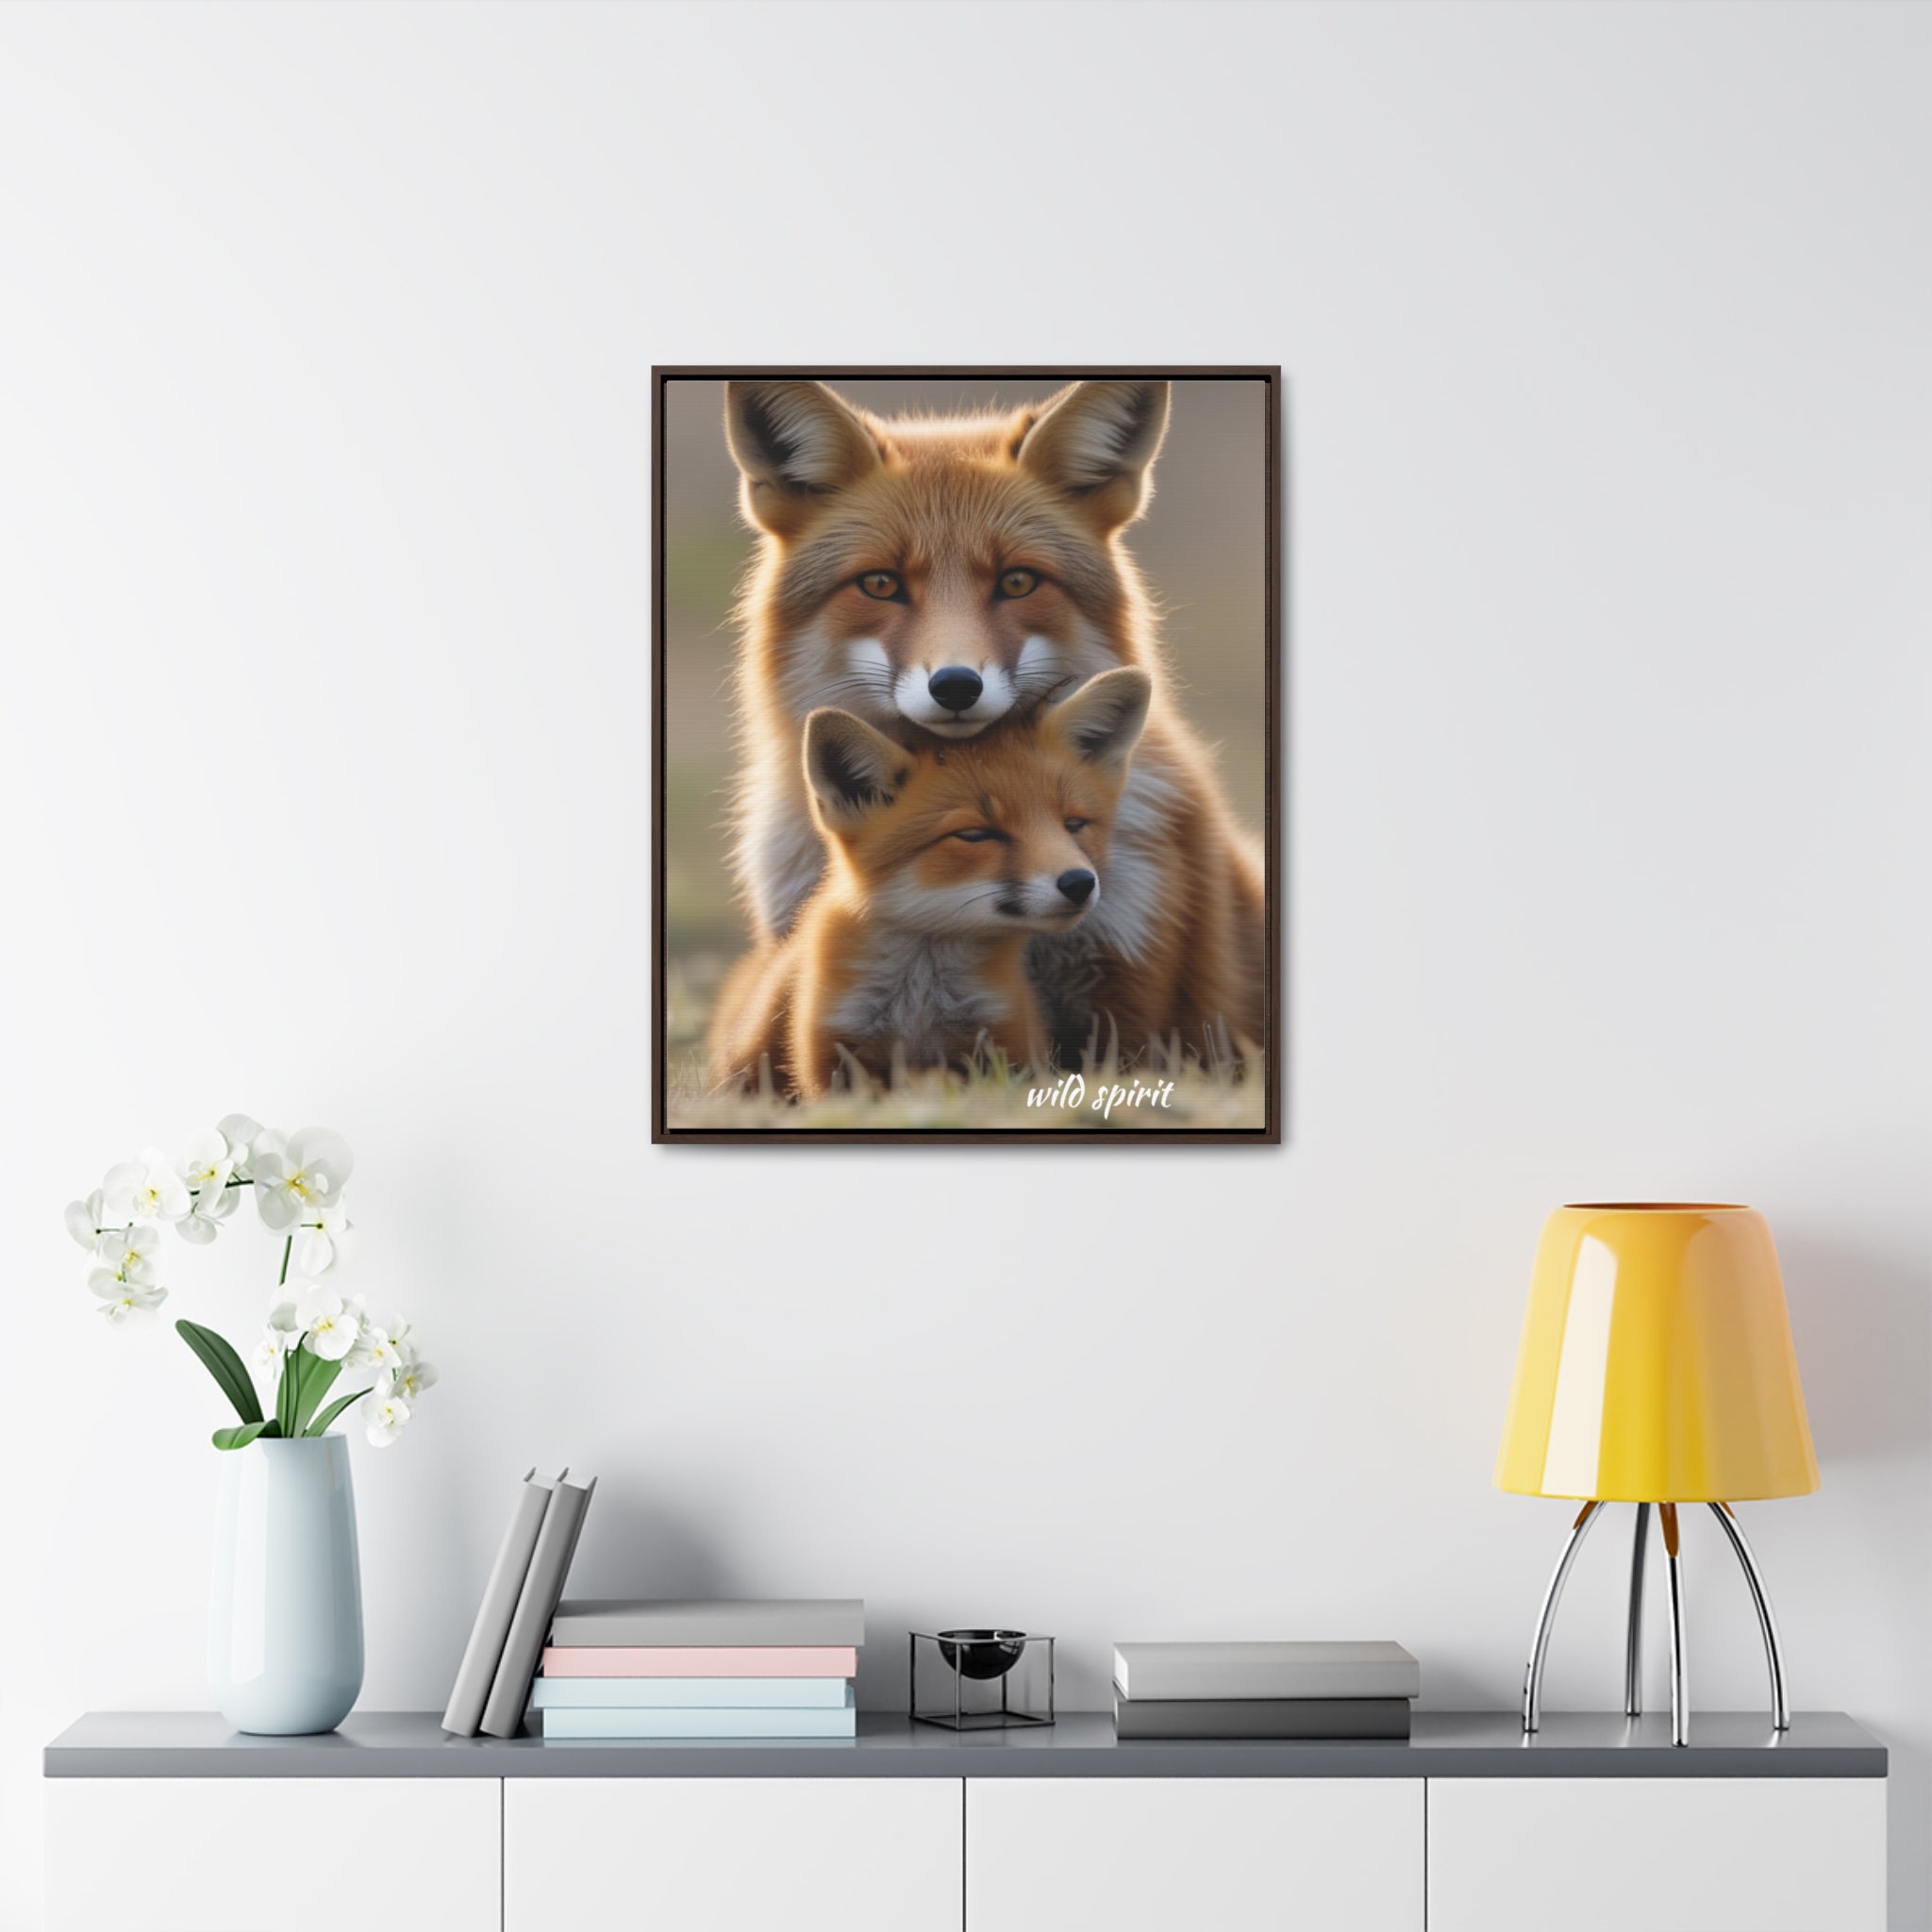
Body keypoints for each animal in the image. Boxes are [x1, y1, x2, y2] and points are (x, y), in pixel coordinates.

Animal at [708, 668, 1152, 1100]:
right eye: (975, 835)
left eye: (1074, 825)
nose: (1080, 883)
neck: (920, 1002)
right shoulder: (833, 1055)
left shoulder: (1006, 1043)